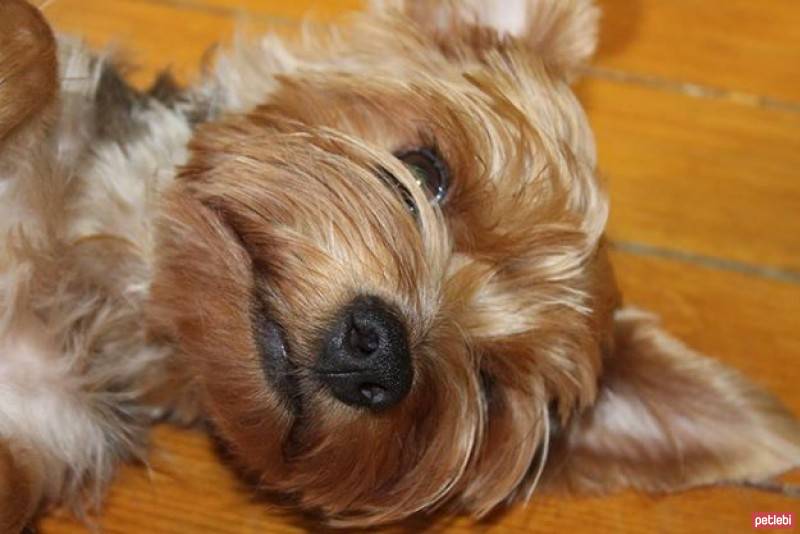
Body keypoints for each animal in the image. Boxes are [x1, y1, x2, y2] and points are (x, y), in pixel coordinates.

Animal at [1, 0, 800, 532]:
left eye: (488, 385)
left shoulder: (38, 435)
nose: (380, 354)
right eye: (424, 169)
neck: (96, 278)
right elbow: (38, 39)